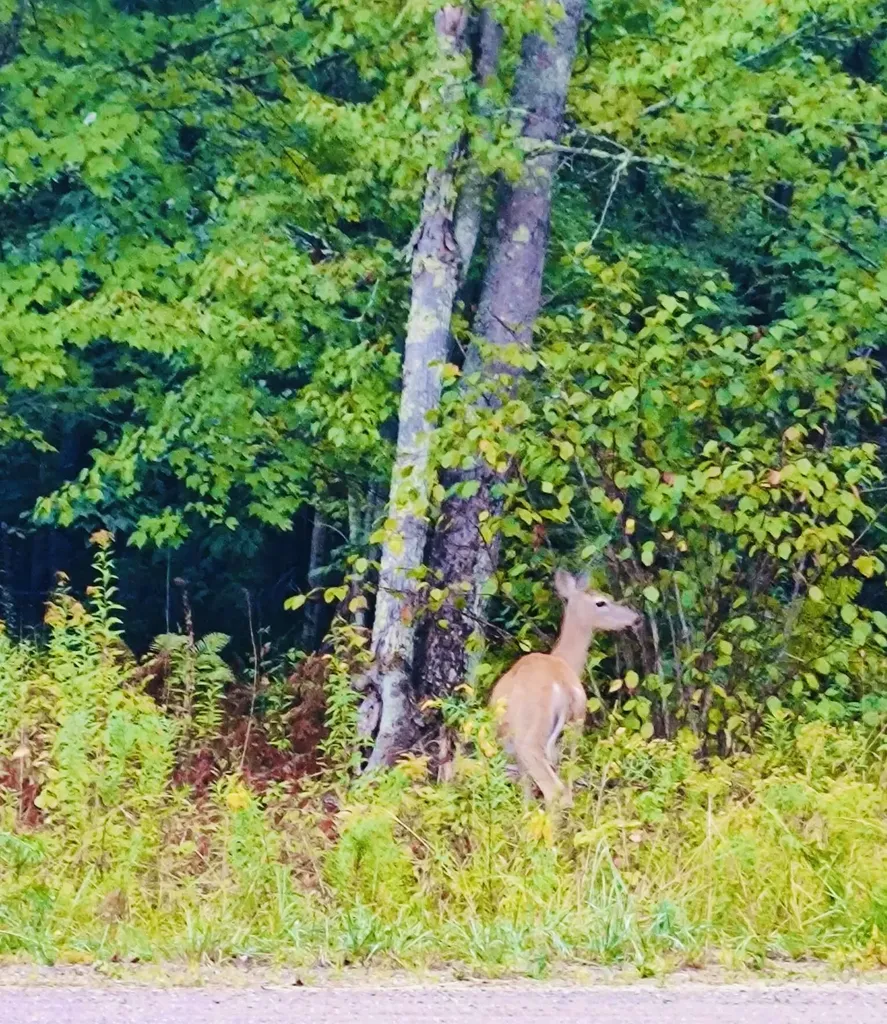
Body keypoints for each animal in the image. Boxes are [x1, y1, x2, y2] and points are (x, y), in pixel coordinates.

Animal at [488, 570, 640, 808]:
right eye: (601, 602)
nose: (636, 618)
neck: (562, 659)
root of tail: (563, 688)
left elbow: (526, 793)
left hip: (530, 738)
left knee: (555, 791)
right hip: (573, 732)